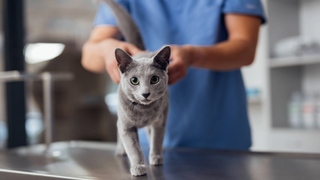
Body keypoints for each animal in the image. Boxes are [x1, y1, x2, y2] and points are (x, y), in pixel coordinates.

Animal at [114, 46, 170, 176]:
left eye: (154, 79)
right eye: (134, 80)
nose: (145, 93)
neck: (143, 111)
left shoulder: (160, 123)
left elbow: (157, 140)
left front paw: (156, 157)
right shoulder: (127, 127)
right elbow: (134, 149)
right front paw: (138, 167)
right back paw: (120, 150)